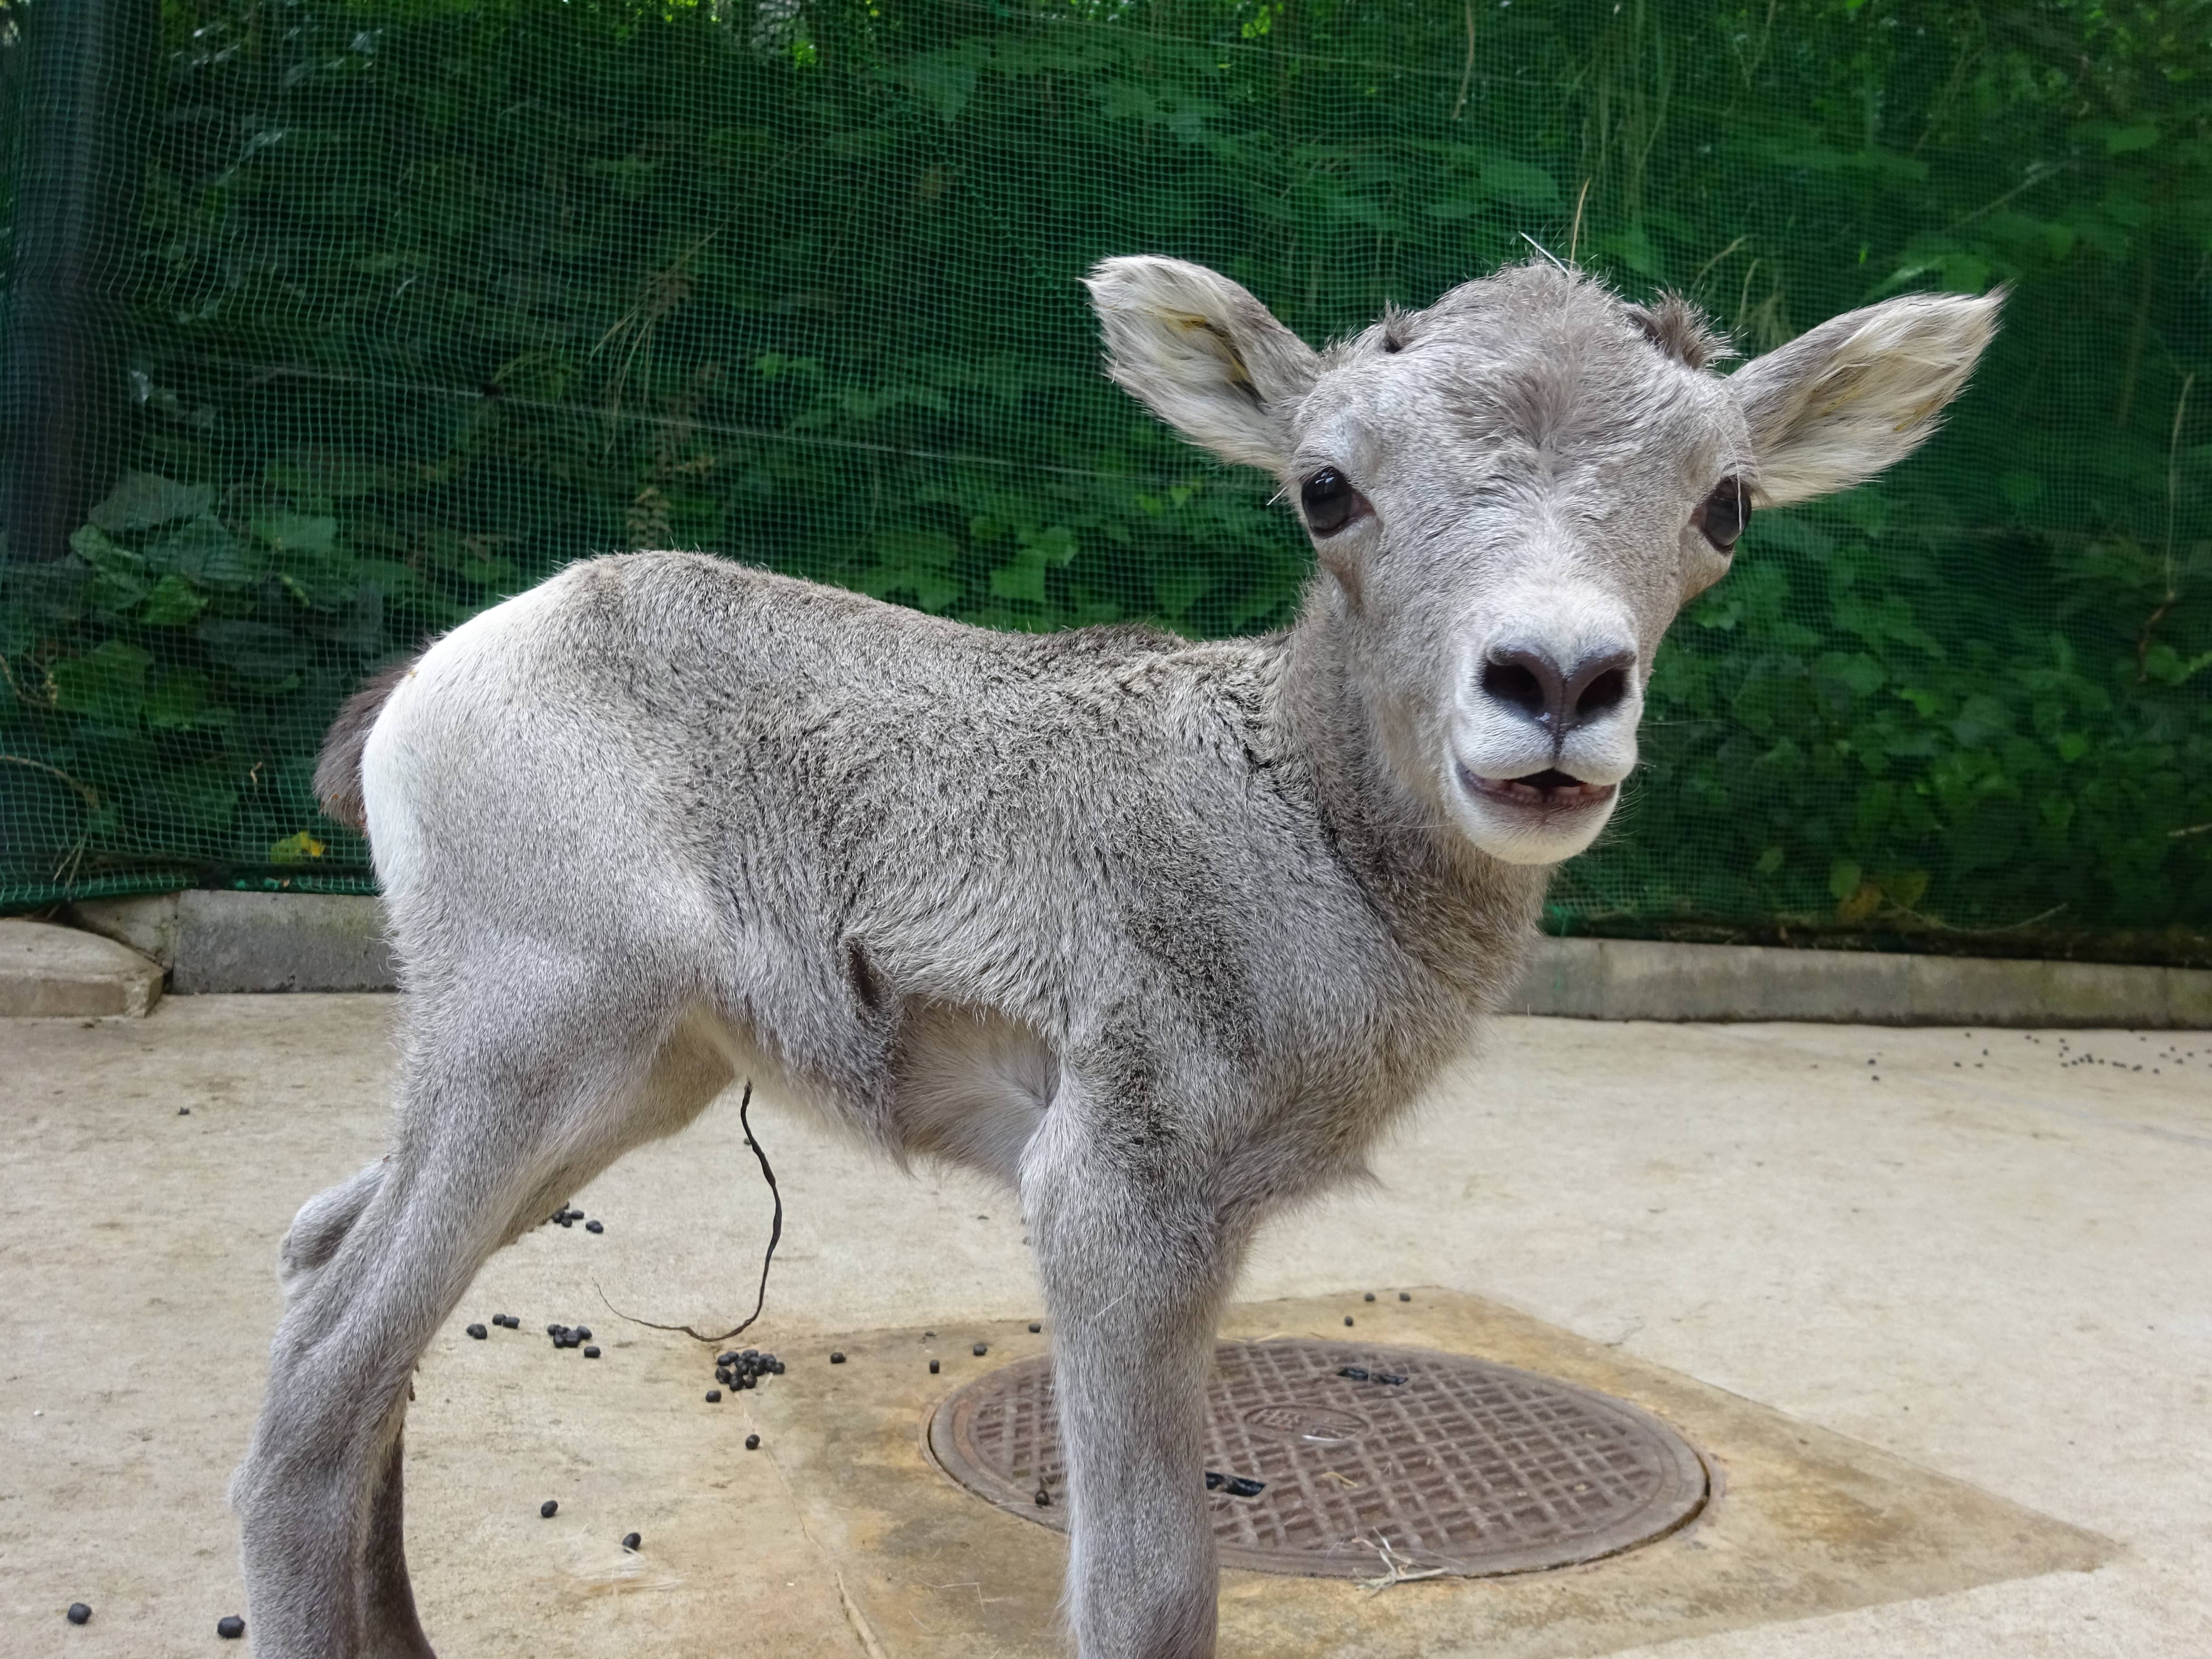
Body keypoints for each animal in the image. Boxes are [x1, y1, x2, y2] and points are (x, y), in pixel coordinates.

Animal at [238, 253, 1991, 1654]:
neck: (1289, 834)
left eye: (1725, 503)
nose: (1554, 684)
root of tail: (438, 682)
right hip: (532, 1040)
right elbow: (1148, 1593)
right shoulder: (1113, 1194)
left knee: (328, 1263)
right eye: (1326, 486)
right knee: (321, 1387)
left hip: (624, 1083)